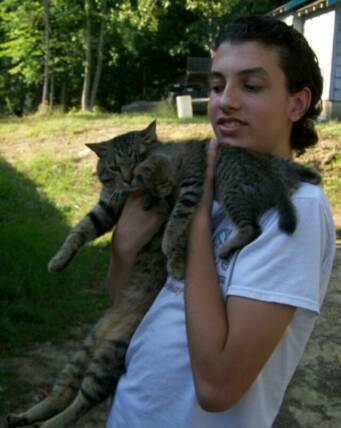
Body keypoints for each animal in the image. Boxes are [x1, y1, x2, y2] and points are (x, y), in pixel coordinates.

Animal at [8, 121, 322, 428]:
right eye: (114, 167)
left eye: (137, 159)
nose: (128, 179)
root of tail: (111, 326)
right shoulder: (108, 207)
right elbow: (79, 230)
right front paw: (58, 260)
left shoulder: (168, 199)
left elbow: (173, 226)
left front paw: (175, 257)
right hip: (84, 350)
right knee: (61, 394)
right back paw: (24, 416)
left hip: (109, 357)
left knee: (81, 403)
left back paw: (46, 424)